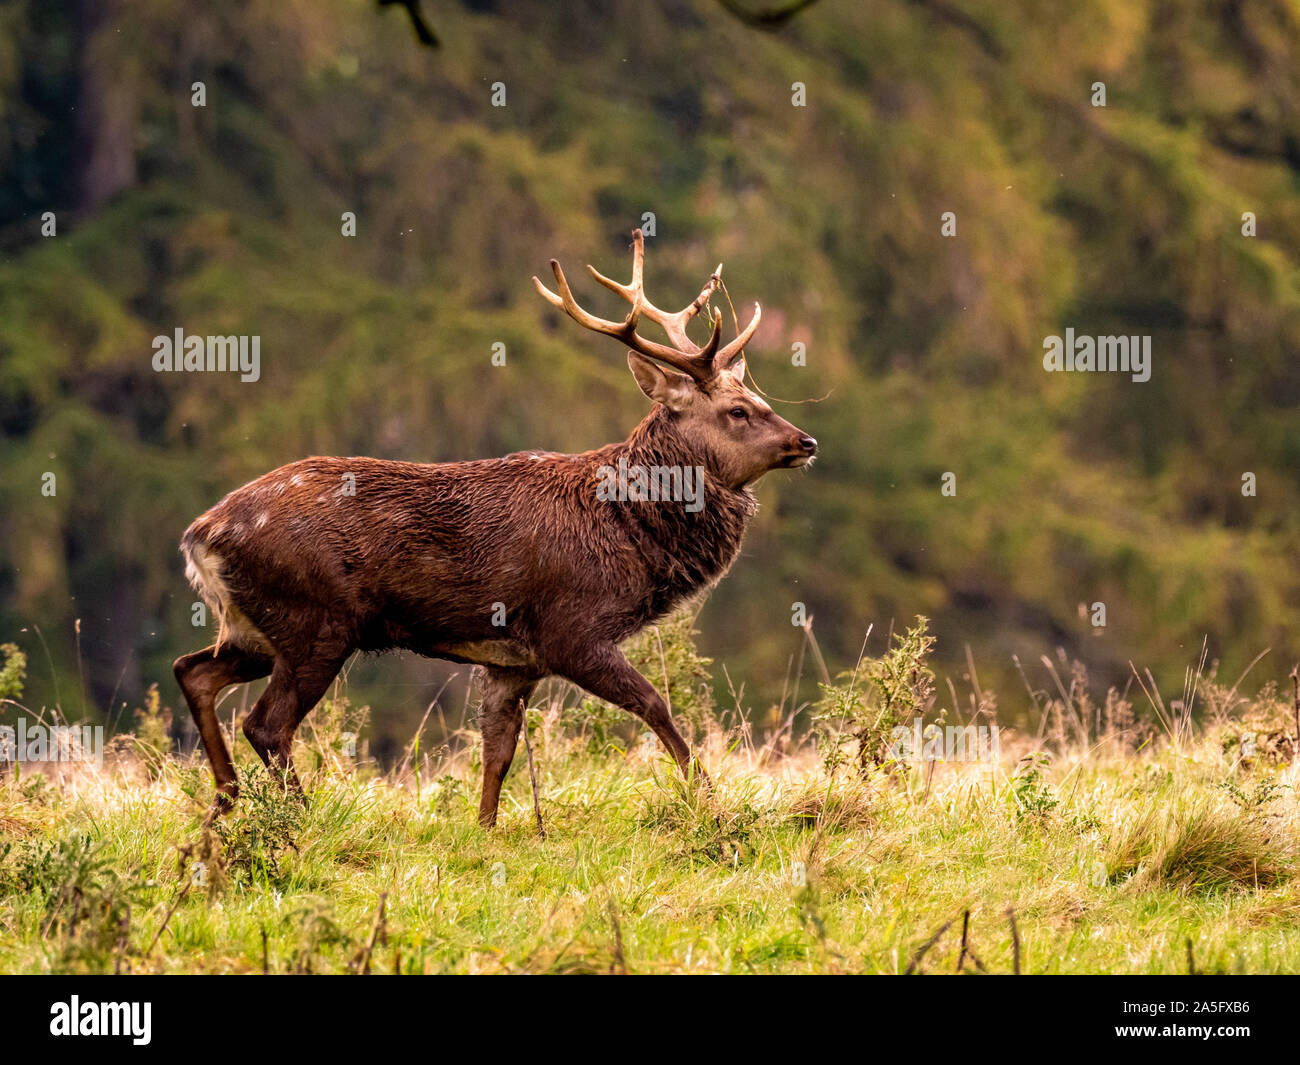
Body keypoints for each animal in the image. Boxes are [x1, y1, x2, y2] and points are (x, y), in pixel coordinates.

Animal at [174, 229, 817, 827]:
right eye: (737, 411)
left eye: (757, 396)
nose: (806, 441)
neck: (629, 534)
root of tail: (200, 534)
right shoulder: (569, 630)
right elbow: (654, 704)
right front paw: (709, 797)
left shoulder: (513, 660)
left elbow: (498, 752)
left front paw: (484, 831)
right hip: (316, 620)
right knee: (265, 723)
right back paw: (297, 817)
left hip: (259, 628)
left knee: (194, 671)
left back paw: (225, 802)